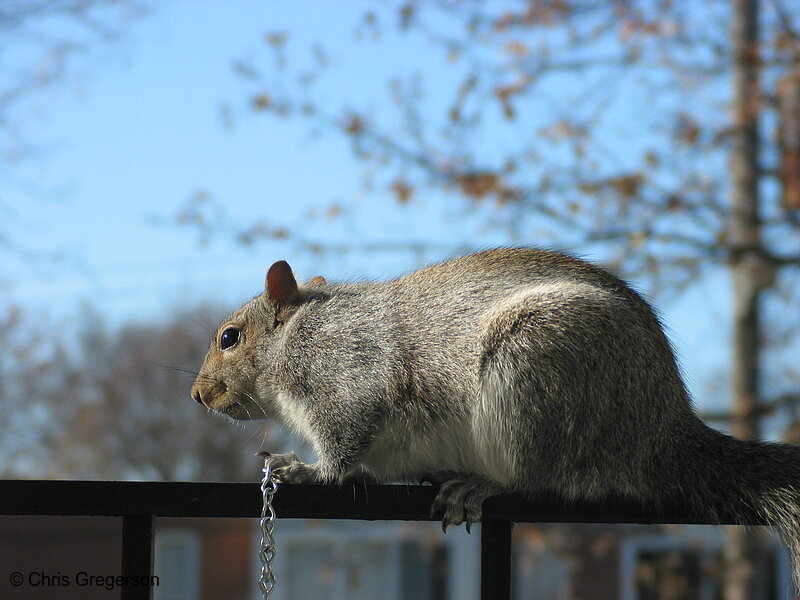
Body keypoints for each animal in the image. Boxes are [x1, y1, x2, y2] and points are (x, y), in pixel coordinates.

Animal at [191, 246, 800, 584]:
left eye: (229, 337)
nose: (198, 396)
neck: (299, 330)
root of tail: (661, 427)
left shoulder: (347, 372)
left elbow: (344, 445)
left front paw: (304, 468)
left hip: (537, 376)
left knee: (540, 476)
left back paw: (479, 485)